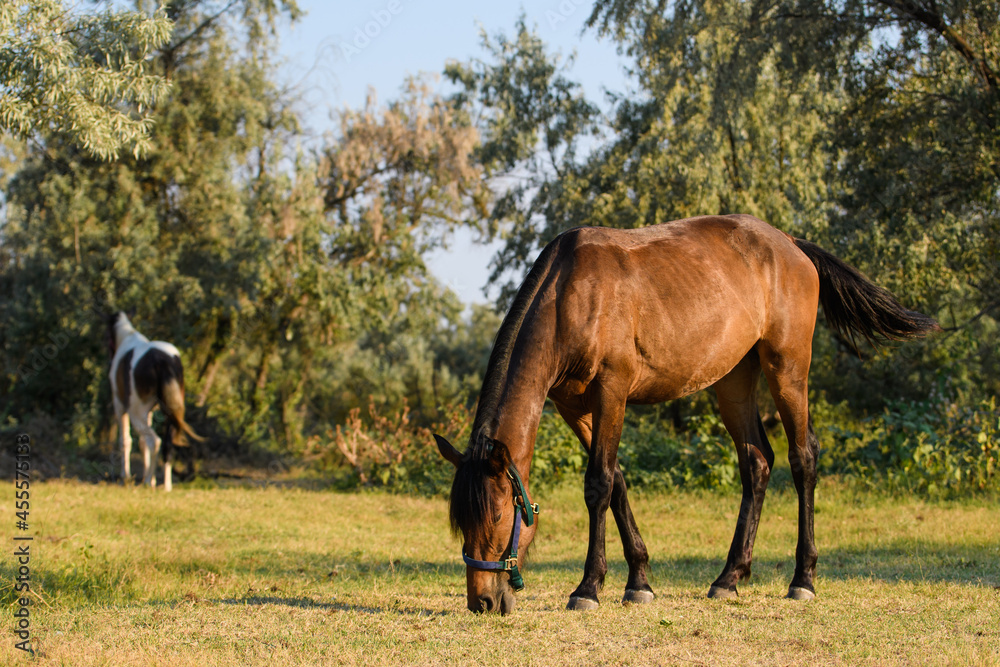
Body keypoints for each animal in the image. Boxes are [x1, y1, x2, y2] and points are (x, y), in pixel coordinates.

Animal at [107, 312, 204, 491]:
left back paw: (147, 482)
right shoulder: (150, 411)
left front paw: (126, 477)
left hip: (135, 411)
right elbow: (142, 443)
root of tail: (162, 361)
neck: (128, 336)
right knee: (166, 445)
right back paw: (165, 485)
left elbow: (126, 441)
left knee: (154, 441)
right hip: (169, 410)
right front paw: (150, 478)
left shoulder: (120, 405)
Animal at [434, 214, 938, 614]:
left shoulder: (611, 393)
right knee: (757, 463)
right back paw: (729, 577)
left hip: (788, 368)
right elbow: (617, 482)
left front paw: (589, 587)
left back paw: (803, 579)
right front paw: (639, 581)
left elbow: (598, 485)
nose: (482, 601)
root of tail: (791, 245)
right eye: (461, 523)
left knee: (803, 458)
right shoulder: (574, 408)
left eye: (497, 518)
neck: (570, 296)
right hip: (733, 382)